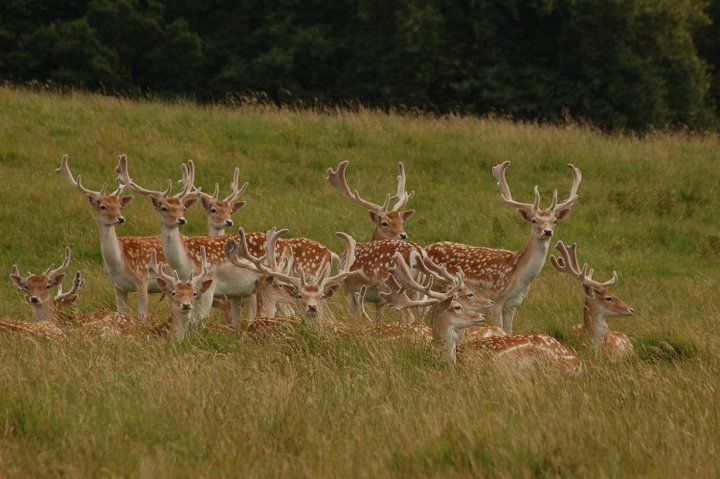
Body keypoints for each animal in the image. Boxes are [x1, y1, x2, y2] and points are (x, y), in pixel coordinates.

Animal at [56, 154, 165, 320]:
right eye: (103, 206)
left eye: (120, 206)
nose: (121, 219)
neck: (119, 264)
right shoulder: (118, 286)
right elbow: (121, 313)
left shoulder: (142, 281)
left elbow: (142, 317)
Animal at [425, 161, 582, 334]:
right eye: (534, 220)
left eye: (554, 221)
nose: (547, 231)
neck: (518, 276)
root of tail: (425, 248)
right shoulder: (496, 298)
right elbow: (499, 327)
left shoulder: (513, 304)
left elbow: (509, 330)